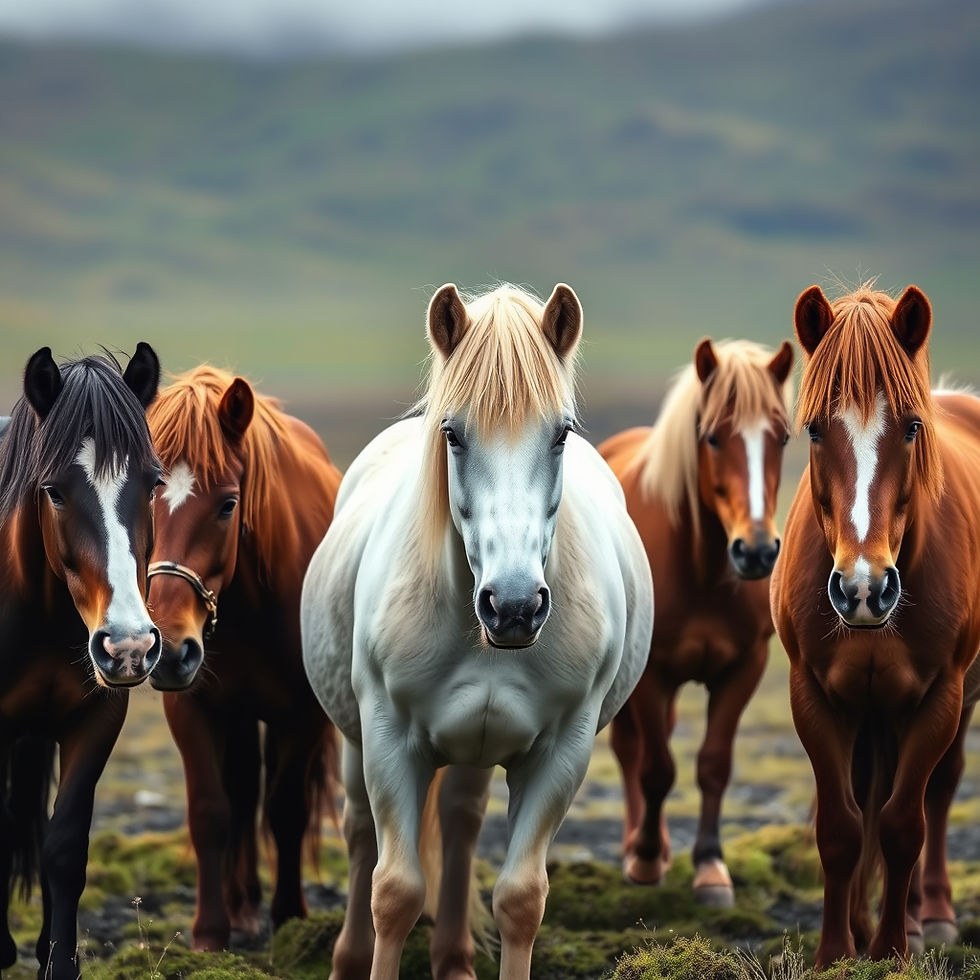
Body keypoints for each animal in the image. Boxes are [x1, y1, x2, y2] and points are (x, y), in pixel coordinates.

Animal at [0, 343, 161, 980]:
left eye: (153, 484)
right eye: (54, 491)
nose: (129, 645)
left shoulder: (96, 719)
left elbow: (64, 847)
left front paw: (58, 961)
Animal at [144, 365, 342, 951]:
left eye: (229, 504)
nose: (169, 650)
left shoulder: (304, 715)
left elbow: (287, 810)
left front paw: (291, 916)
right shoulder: (191, 707)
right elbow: (212, 811)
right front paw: (210, 932)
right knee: (241, 790)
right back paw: (242, 906)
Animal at [300, 282, 653, 980]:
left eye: (561, 434)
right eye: (453, 434)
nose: (513, 607)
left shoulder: (562, 750)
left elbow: (520, 899)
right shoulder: (388, 737)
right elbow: (395, 891)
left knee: (461, 823)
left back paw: (454, 958)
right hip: (354, 739)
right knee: (358, 834)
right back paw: (348, 957)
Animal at [599, 337, 794, 905]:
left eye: (783, 437)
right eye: (712, 437)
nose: (756, 551)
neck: (703, 571)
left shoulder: (744, 668)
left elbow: (714, 765)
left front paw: (710, 867)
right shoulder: (651, 674)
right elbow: (657, 769)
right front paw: (644, 860)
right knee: (631, 752)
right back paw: (640, 847)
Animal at [770, 283, 980, 965]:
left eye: (912, 427)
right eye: (814, 429)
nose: (864, 589)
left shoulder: (939, 697)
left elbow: (903, 823)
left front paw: (891, 952)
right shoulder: (812, 694)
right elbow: (841, 827)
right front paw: (838, 951)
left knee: (936, 792)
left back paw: (927, 919)